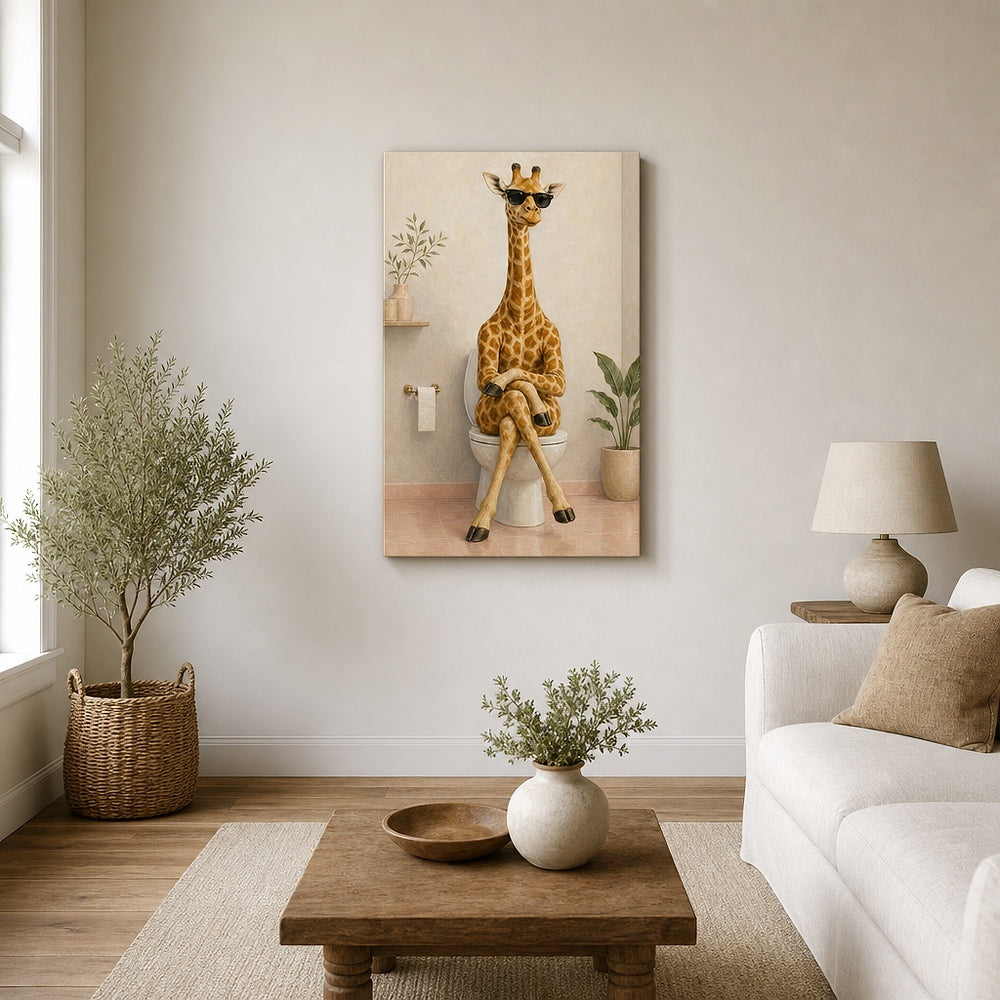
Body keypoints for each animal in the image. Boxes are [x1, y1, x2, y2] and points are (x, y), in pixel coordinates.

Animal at [466, 162, 575, 543]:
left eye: (542, 197)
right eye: (513, 193)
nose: (531, 212)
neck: (522, 313)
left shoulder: (557, 368)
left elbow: (540, 379)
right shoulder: (483, 348)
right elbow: (500, 379)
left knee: (521, 422)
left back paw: (562, 509)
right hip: (486, 417)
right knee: (512, 417)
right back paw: (480, 522)